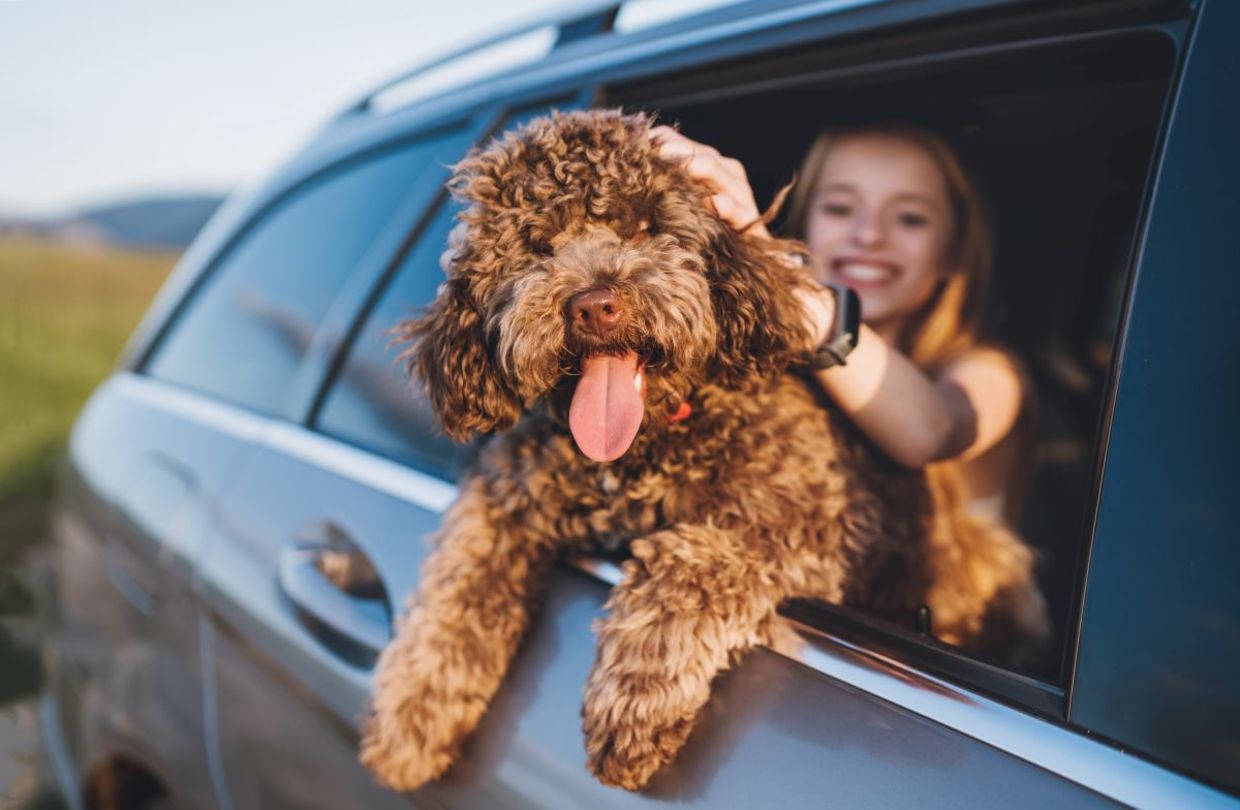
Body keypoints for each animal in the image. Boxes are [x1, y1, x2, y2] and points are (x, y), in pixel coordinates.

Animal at [359, 107, 1046, 788]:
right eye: (536, 244)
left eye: (644, 225)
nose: (594, 305)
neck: (645, 444)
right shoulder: (506, 495)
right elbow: (458, 586)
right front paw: (411, 715)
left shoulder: (806, 515)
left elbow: (687, 563)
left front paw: (634, 703)